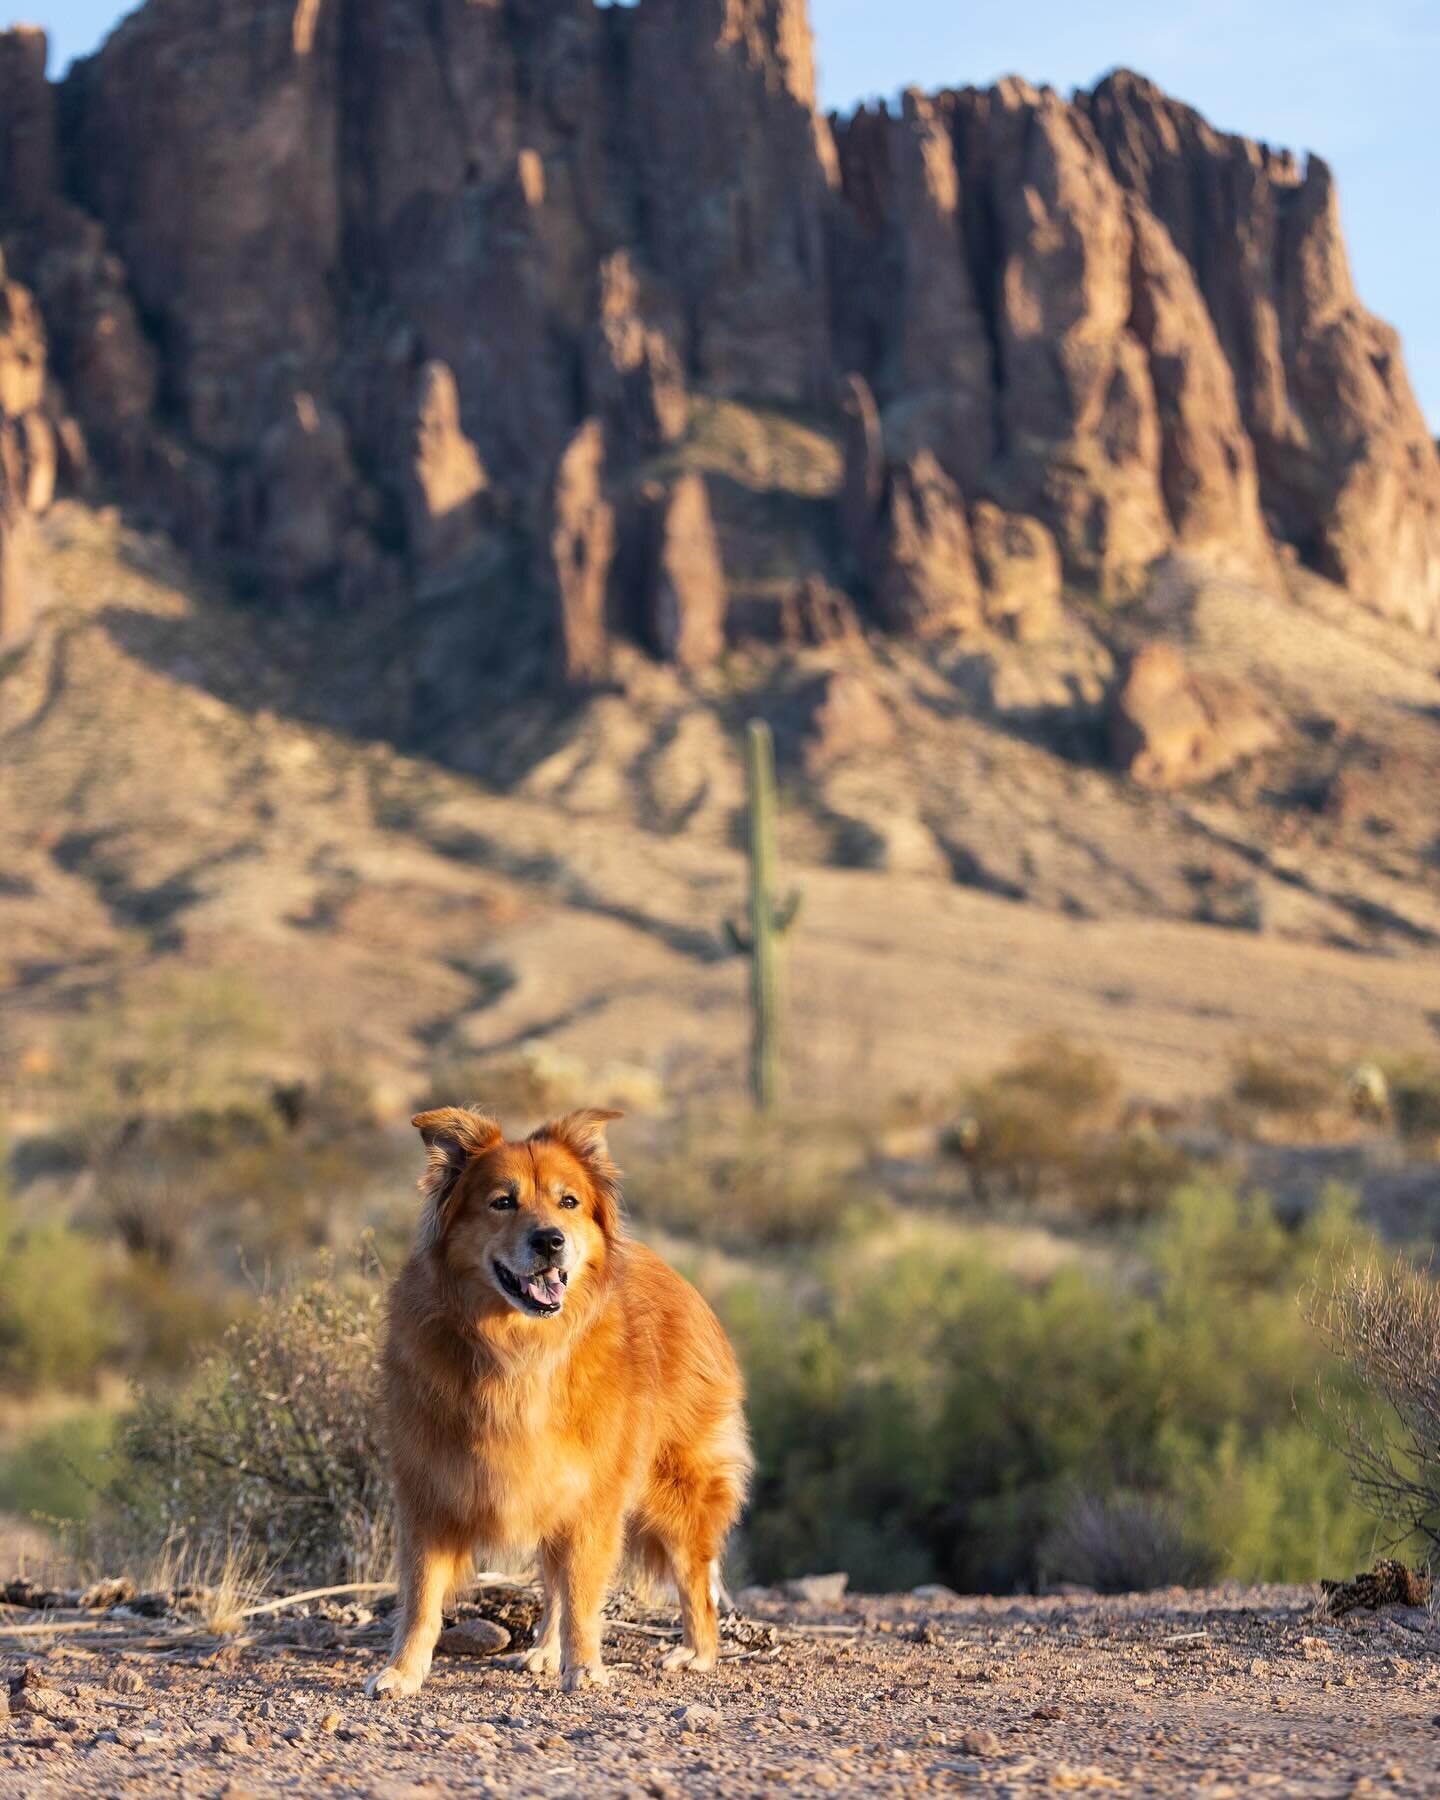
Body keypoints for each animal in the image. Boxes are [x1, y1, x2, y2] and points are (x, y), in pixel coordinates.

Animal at [365, 1101, 752, 1692]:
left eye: (569, 1201)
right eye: (502, 1201)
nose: (550, 1240)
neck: (518, 1349)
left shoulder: (593, 1496)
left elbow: (584, 1596)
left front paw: (586, 1666)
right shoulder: (430, 1490)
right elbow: (423, 1598)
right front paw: (402, 1672)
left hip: (676, 1489)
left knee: (692, 1581)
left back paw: (697, 1652)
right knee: (555, 1583)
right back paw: (546, 1651)